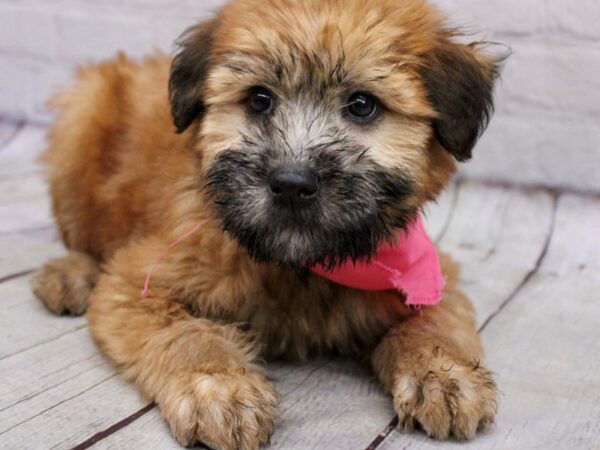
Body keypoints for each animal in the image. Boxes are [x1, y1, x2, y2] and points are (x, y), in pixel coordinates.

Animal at [32, 1, 502, 448]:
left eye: (362, 105)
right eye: (259, 99)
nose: (291, 184)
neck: (299, 267)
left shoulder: (431, 274)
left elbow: (435, 321)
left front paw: (443, 375)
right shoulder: (137, 282)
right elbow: (186, 333)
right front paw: (219, 388)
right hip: (81, 119)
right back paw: (71, 274)